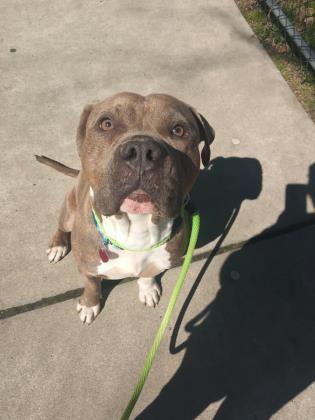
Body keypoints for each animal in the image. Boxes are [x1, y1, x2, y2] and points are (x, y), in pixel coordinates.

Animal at [35, 92, 216, 324]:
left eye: (178, 130)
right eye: (106, 124)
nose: (142, 150)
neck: (137, 228)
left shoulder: (160, 261)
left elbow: (148, 274)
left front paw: (147, 289)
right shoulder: (87, 268)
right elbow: (92, 285)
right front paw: (89, 304)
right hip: (69, 210)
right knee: (61, 226)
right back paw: (58, 245)